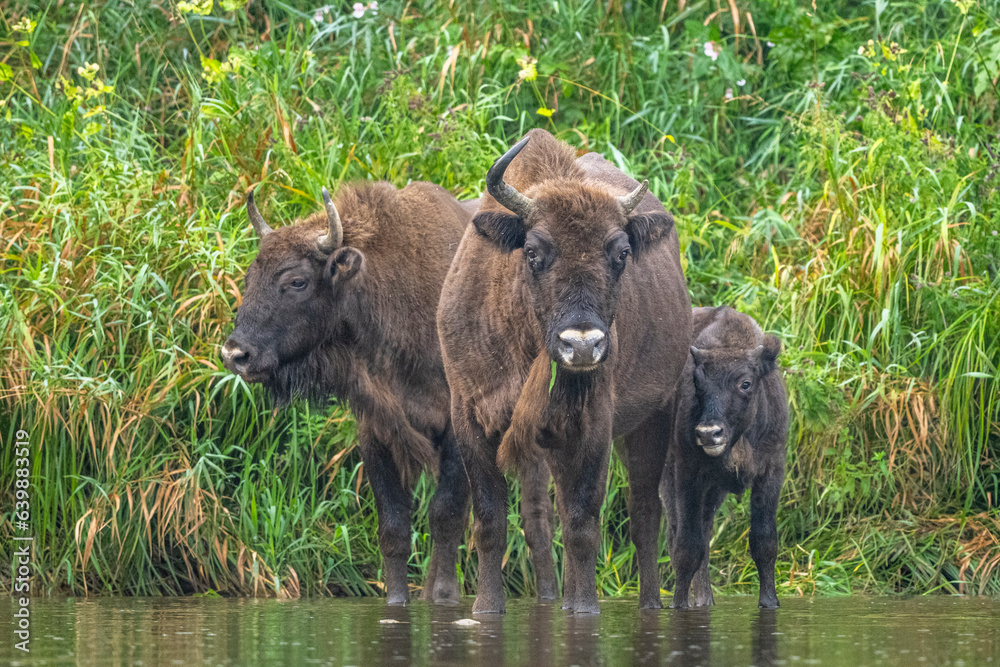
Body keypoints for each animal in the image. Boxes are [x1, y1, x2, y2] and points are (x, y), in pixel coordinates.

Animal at [221, 181, 556, 604]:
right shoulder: (378, 432)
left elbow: (445, 516)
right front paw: (398, 600)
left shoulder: (454, 429)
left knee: (535, 514)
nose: (236, 354)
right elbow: (394, 526)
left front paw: (442, 596)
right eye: (251, 277)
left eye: (296, 281)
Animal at [437, 129, 691, 613]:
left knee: (645, 513)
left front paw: (586, 609)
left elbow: (581, 524)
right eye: (534, 251)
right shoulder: (471, 418)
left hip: (654, 418)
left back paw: (648, 603)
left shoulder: (593, 428)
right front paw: (486, 607)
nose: (583, 344)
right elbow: (490, 521)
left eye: (621, 252)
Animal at [660, 306, 787, 609]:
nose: (709, 433)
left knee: (705, 531)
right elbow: (686, 546)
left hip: (713, 492)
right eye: (697, 382)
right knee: (678, 534)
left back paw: (706, 600)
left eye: (746, 383)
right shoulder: (687, 474)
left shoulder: (772, 471)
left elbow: (764, 541)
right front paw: (678, 604)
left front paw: (770, 601)